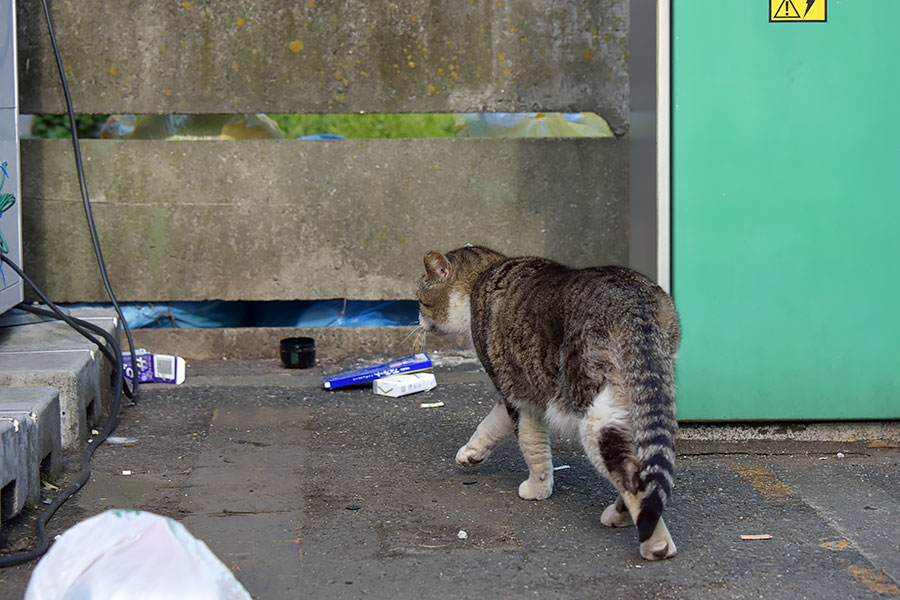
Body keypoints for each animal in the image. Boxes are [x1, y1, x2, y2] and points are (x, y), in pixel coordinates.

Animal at [418, 246, 680, 560]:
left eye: (419, 300)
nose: (417, 320)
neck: (483, 273)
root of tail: (632, 301)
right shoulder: (519, 391)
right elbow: (491, 425)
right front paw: (471, 454)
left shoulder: (518, 396)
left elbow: (532, 445)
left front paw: (537, 489)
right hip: (640, 399)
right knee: (645, 468)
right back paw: (623, 515)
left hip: (594, 411)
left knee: (630, 475)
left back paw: (656, 543)